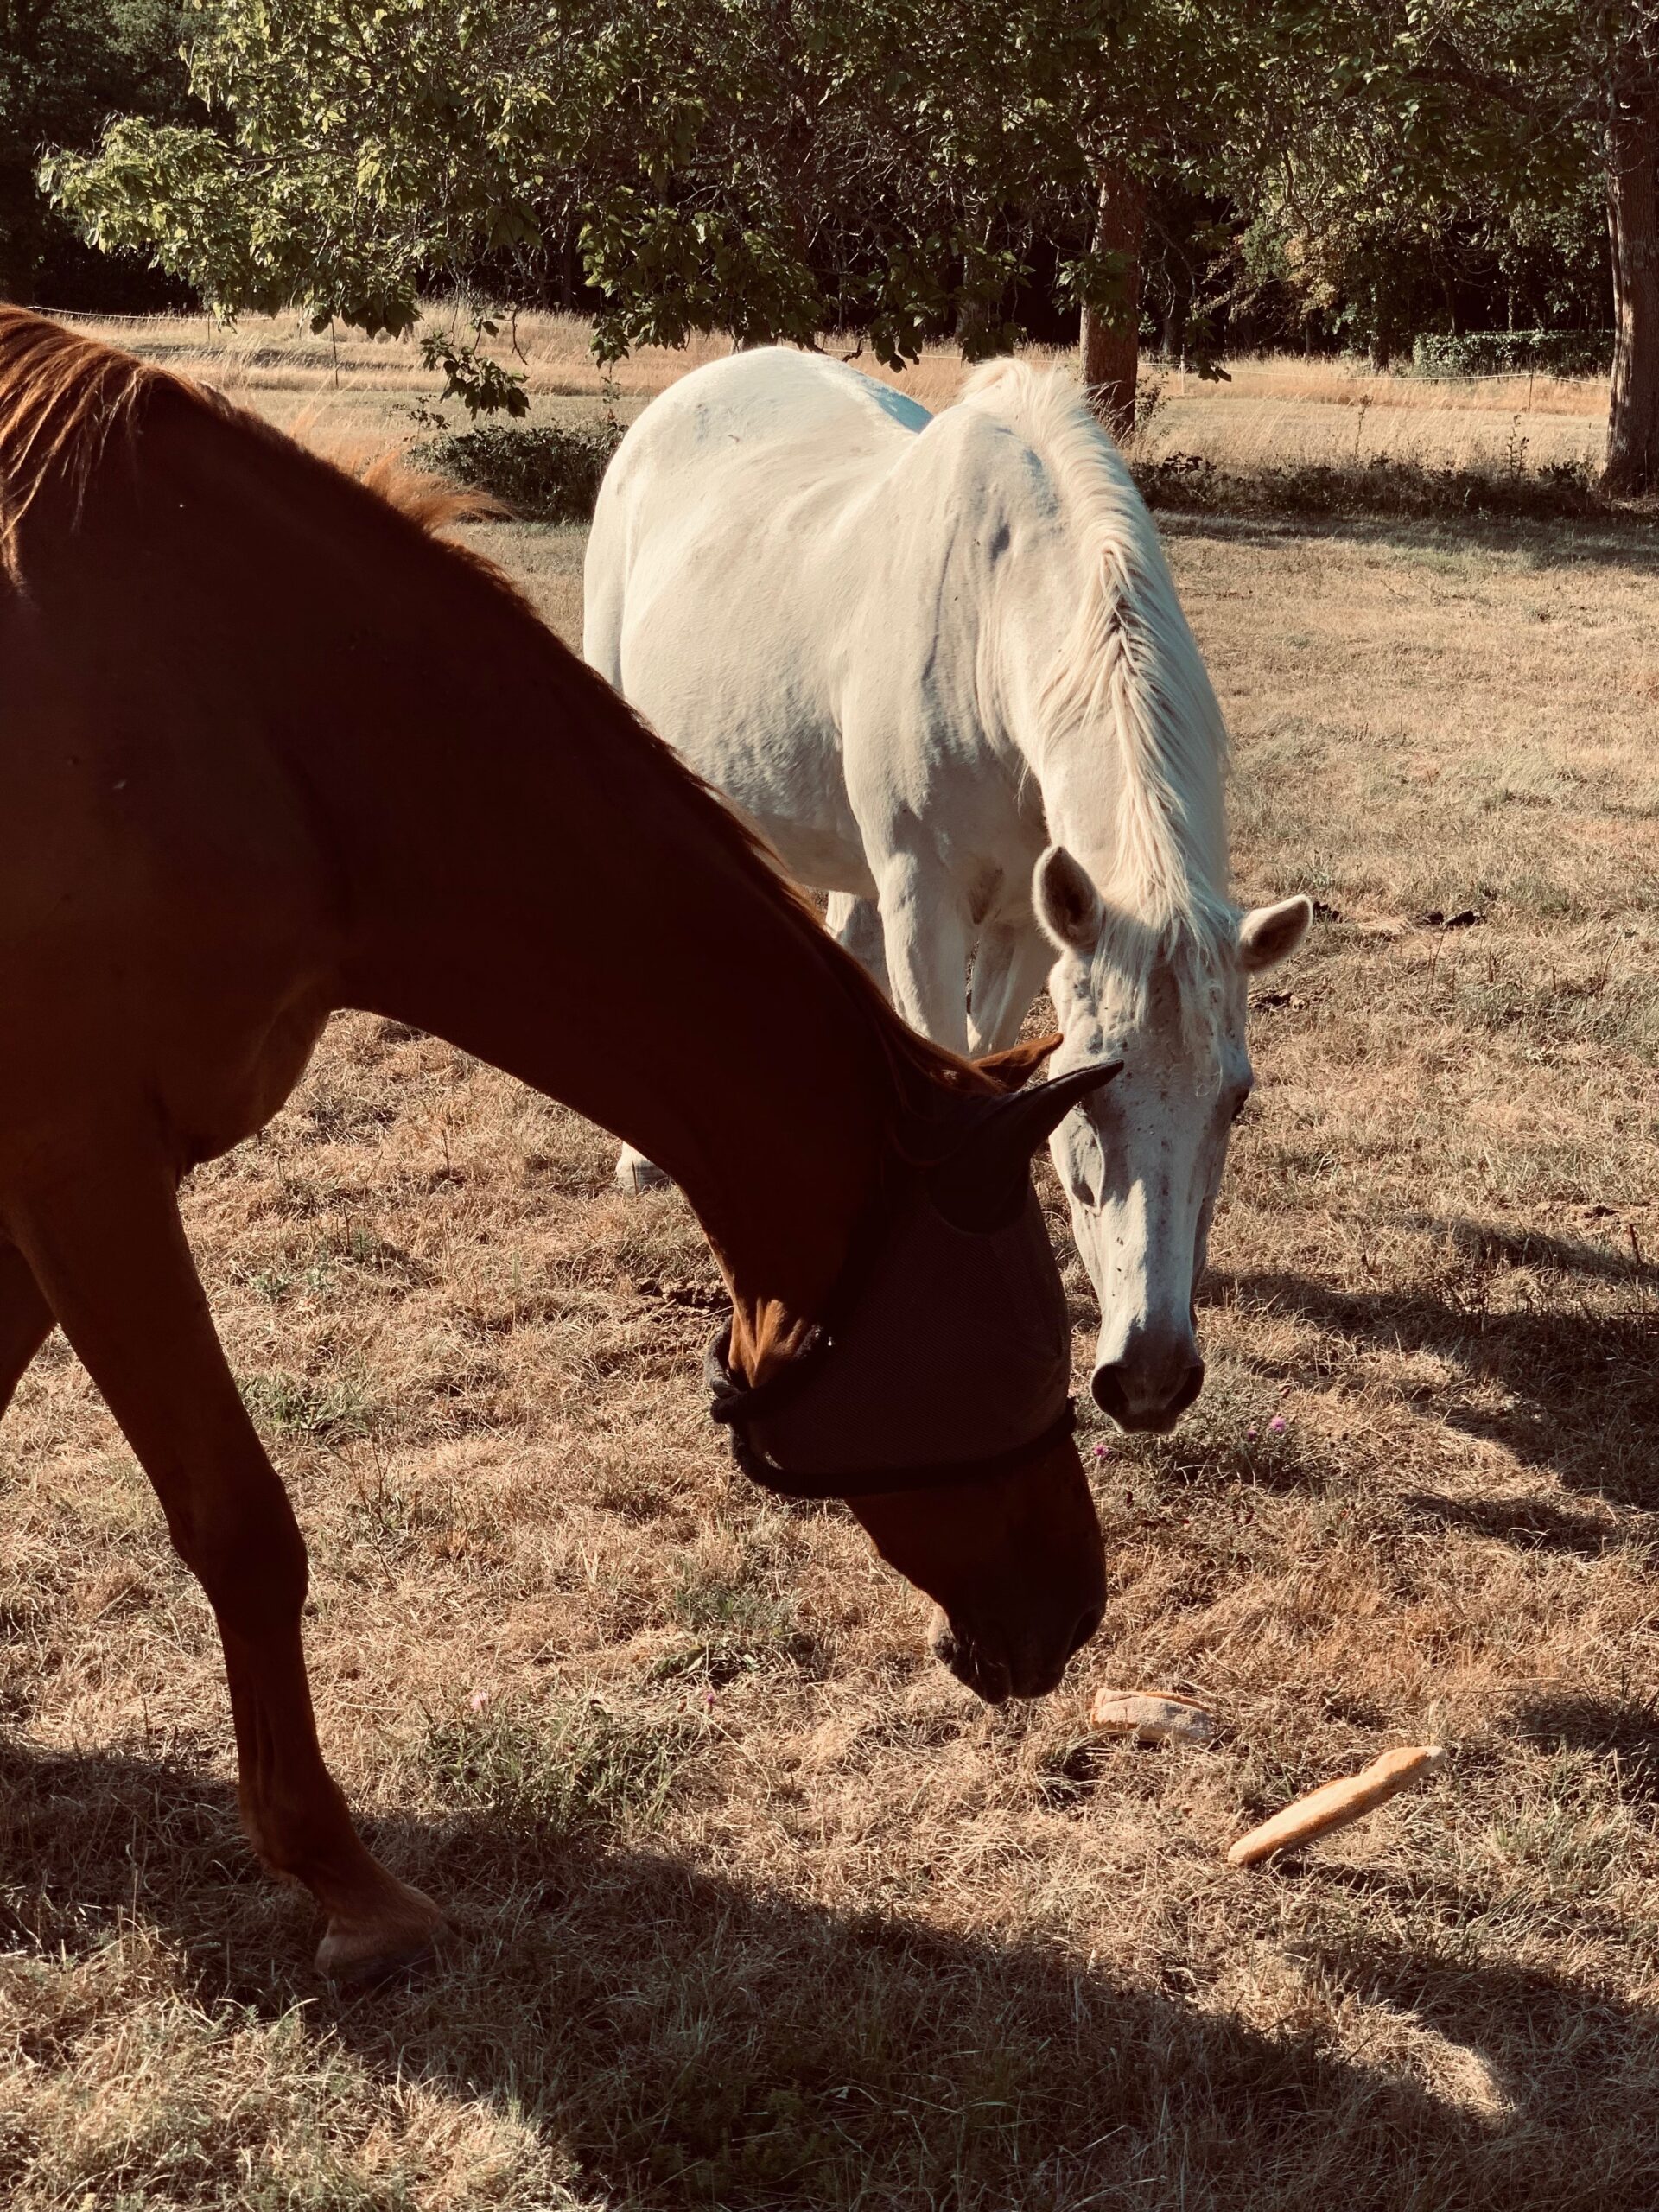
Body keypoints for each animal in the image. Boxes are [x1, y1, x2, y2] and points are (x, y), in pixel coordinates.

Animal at [0, 307, 1119, 1973]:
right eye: (1026, 1352)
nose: (1074, 1608)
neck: (239, 707)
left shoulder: (56, 1179)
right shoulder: (86, 1167)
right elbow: (244, 1524)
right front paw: (342, 1878)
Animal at [588, 346, 1309, 1433]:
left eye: (1238, 1097)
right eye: (1092, 1091)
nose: (1150, 1377)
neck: (994, 627)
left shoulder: (1030, 920)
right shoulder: (926, 898)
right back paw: (640, 1160)